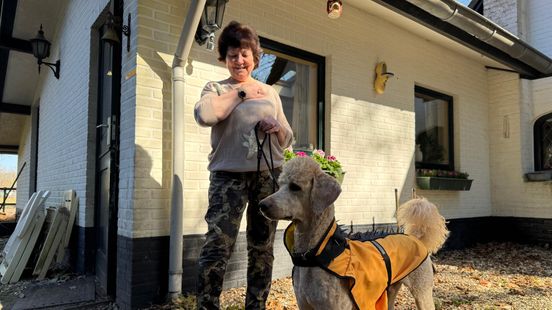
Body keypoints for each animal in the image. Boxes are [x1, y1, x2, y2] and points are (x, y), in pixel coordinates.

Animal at [258, 159, 448, 308]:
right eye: (280, 185)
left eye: (295, 187)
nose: (261, 205)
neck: (317, 250)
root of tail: (416, 238)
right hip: (390, 292)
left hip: (422, 292)